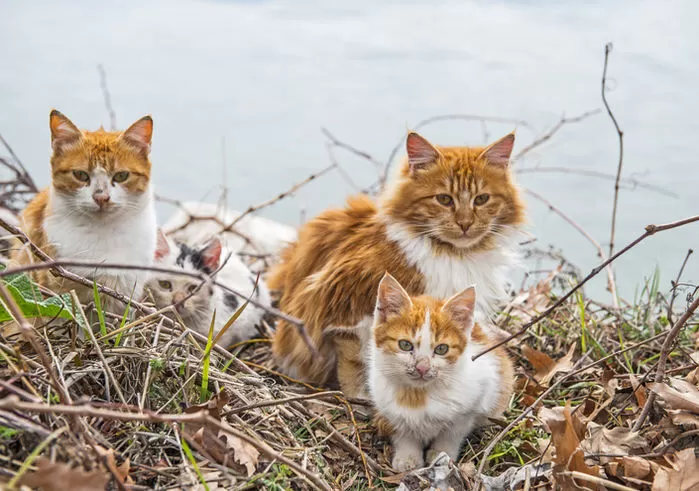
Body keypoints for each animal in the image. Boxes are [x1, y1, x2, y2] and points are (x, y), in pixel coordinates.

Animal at [268, 130, 524, 396]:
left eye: (481, 199)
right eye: (444, 199)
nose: (465, 224)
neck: (453, 255)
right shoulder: (344, 308)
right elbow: (354, 364)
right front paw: (363, 397)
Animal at [366, 274, 516, 470]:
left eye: (442, 349)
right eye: (405, 345)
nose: (422, 367)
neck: (417, 396)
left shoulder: (474, 400)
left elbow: (452, 433)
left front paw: (442, 453)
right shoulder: (388, 409)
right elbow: (403, 430)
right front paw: (408, 456)